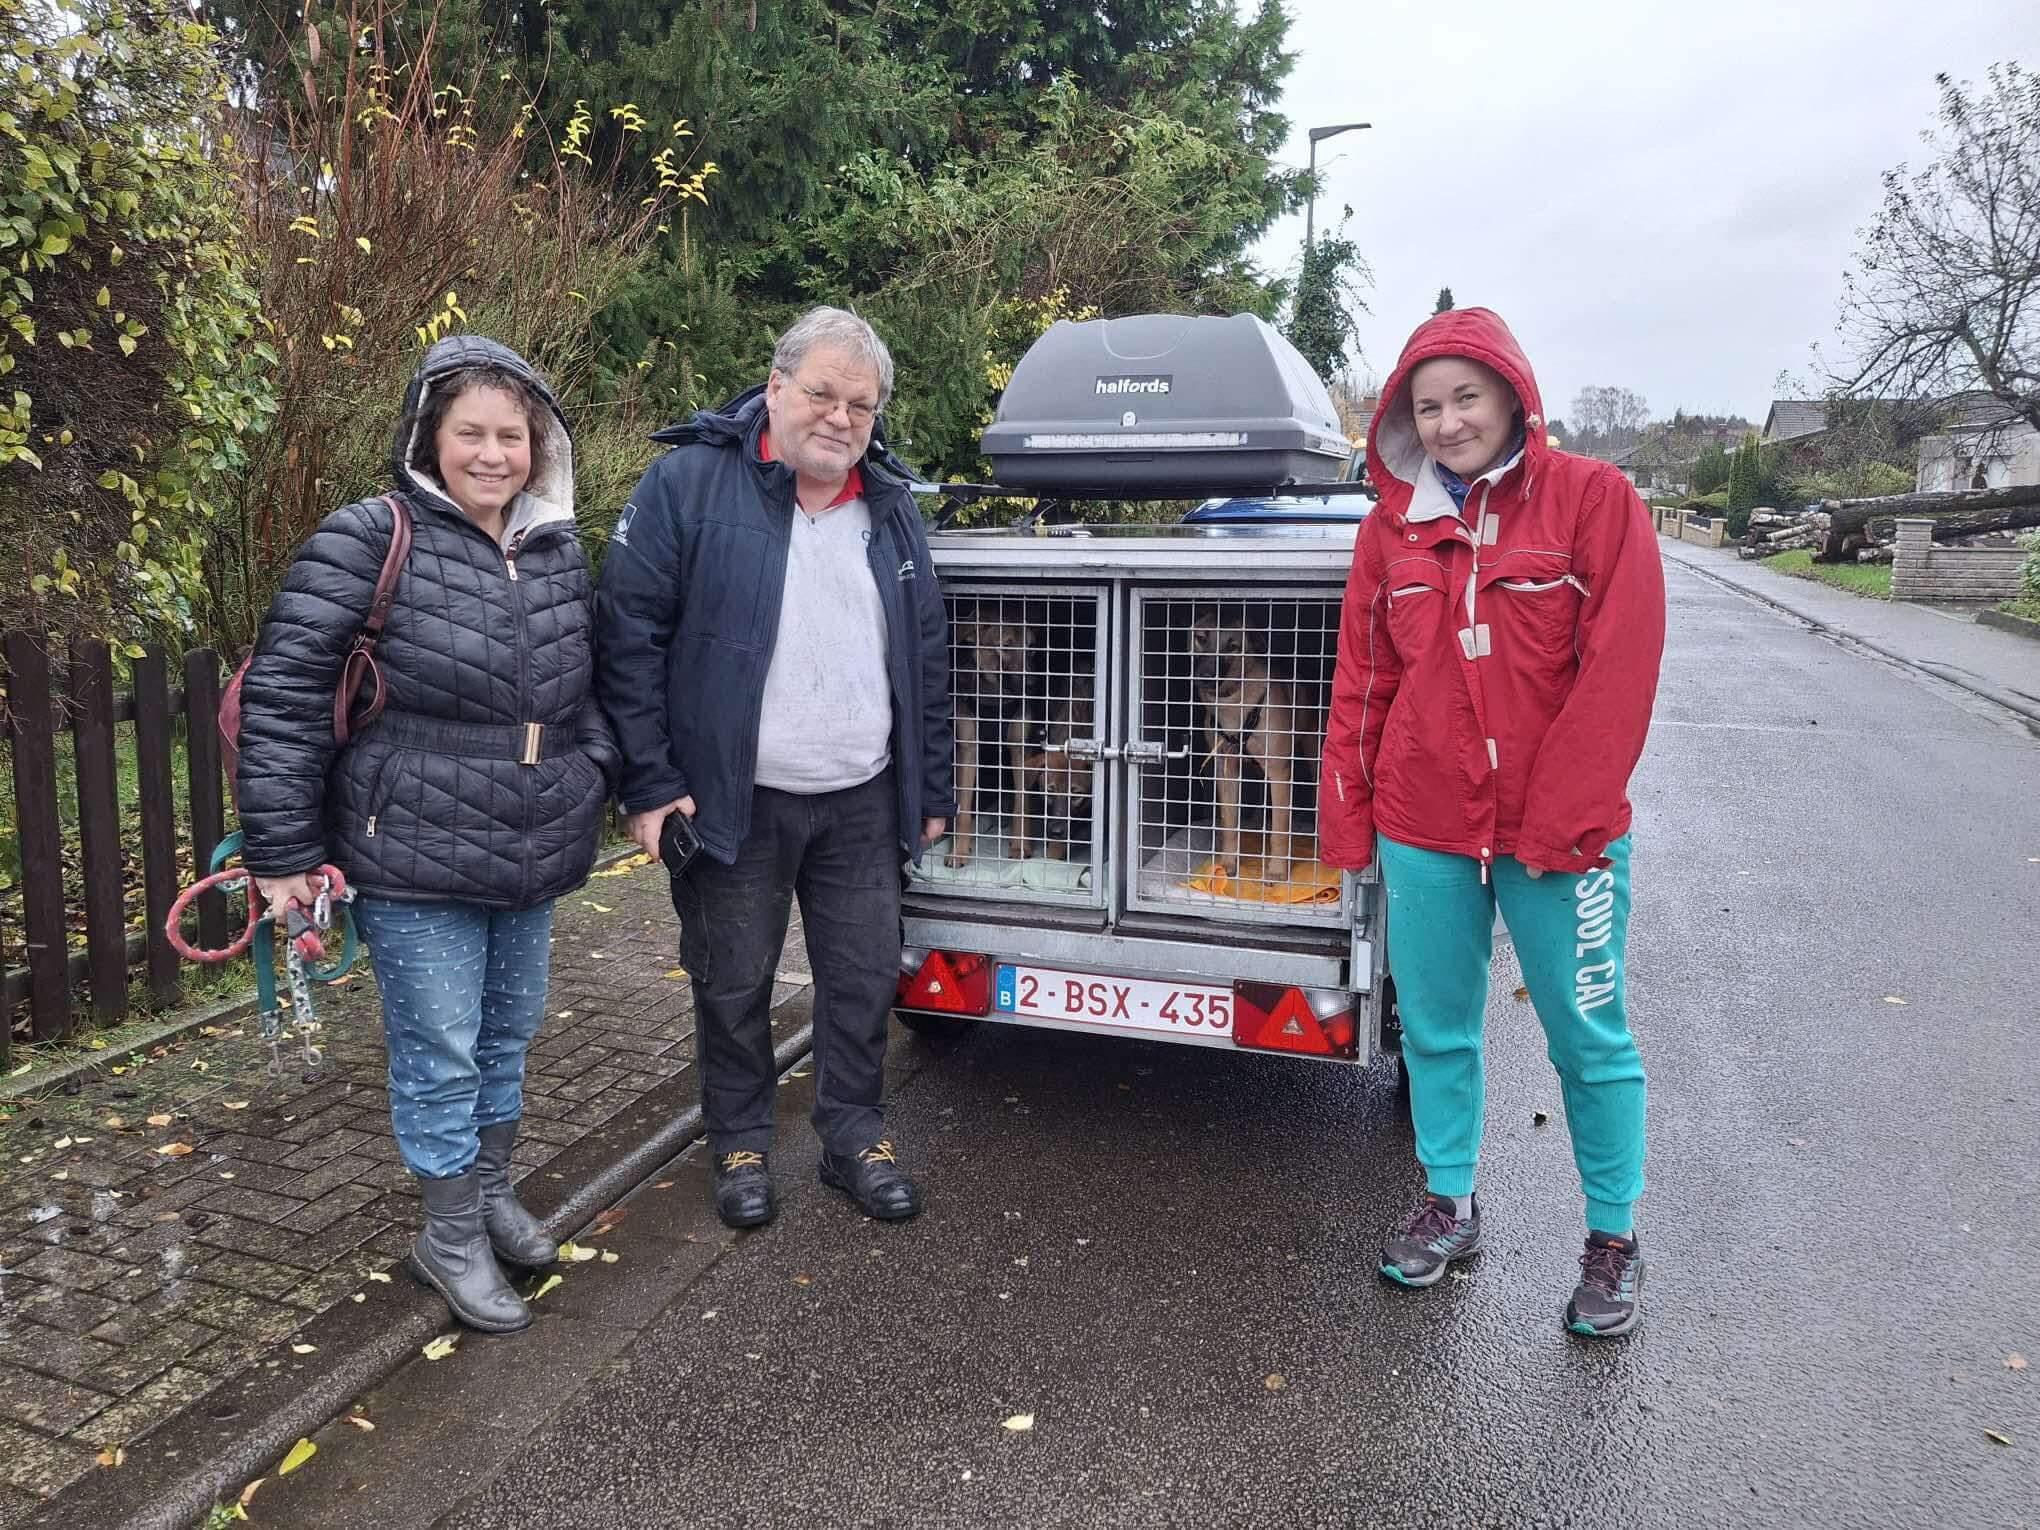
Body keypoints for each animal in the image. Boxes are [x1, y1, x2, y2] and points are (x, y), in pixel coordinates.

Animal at [938, 599, 1036, 869]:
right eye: (1005, 646)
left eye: (1031, 649)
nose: (1033, 684)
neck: (995, 698)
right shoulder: (968, 749)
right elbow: (963, 806)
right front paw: (959, 850)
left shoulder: (1020, 749)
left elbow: (1022, 803)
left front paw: (1020, 846)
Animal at [1191, 607, 1313, 873]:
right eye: (1201, 638)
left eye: (1232, 646)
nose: (1204, 676)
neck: (1234, 701)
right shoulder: (1226, 770)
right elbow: (1229, 824)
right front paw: (1228, 863)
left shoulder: (1279, 771)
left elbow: (1280, 830)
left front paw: (1277, 870)